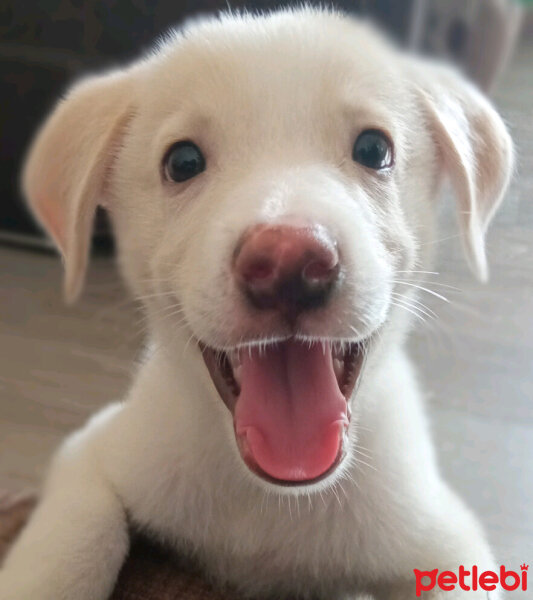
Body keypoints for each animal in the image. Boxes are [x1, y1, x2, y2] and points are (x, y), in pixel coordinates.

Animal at [2, 5, 512, 600]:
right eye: (182, 162)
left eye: (374, 149)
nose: (290, 264)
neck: (275, 497)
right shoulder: (93, 449)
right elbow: (73, 543)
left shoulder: (445, 538)